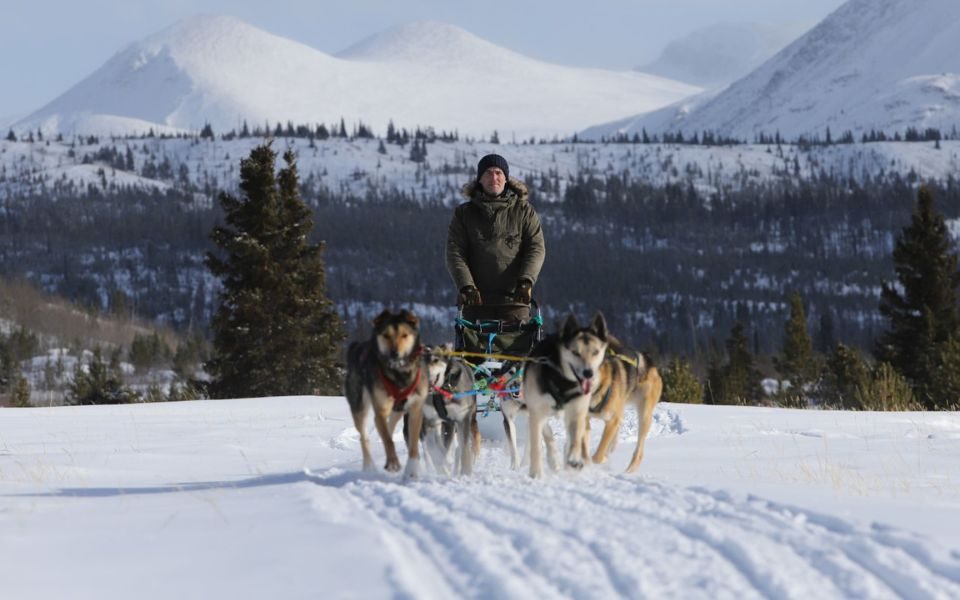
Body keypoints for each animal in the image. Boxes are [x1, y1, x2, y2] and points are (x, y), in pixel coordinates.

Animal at [342, 310, 424, 478]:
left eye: (404, 335)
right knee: (365, 437)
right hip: (359, 406)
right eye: (386, 335)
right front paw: (392, 463)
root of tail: (356, 346)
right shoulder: (380, 409)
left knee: (389, 425)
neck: (399, 374)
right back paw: (369, 466)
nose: (394, 353)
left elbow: (413, 444)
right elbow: (387, 440)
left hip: (398, 410)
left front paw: (412, 469)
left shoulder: (415, 410)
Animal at [512, 314, 612, 478]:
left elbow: (576, 438)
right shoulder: (536, 413)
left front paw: (574, 459)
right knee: (546, 434)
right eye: (576, 352)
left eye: (595, 352)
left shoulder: (577, 411)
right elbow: (537, 445)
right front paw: (536, 473)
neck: (562, 381)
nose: (588, 373)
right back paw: (553, 459)